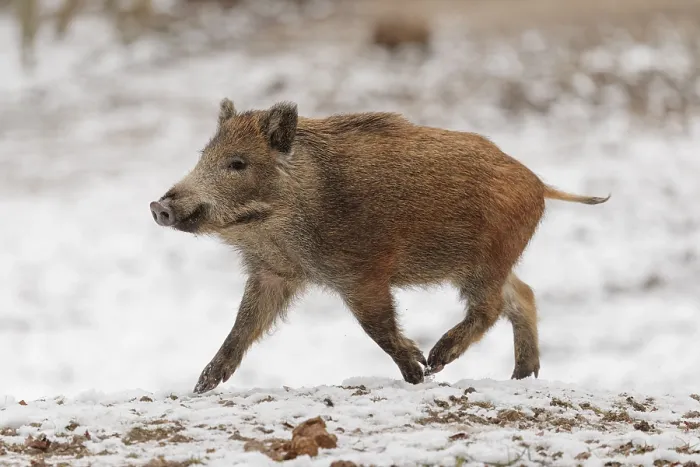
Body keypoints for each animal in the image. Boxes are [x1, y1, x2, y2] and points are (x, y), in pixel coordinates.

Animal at [149, 99, 610, 394]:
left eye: (238, 163)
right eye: (203, 155)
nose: (159, 206)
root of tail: (539, 184)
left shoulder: (362, 272)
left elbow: (377, 327)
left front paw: (417, 373)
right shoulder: (272, 273)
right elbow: (242, 327)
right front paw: (202, 384)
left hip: (485, 262)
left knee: (493, 306)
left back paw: (438, 359)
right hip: (493, 263)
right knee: (523, 294)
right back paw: (522, 376)